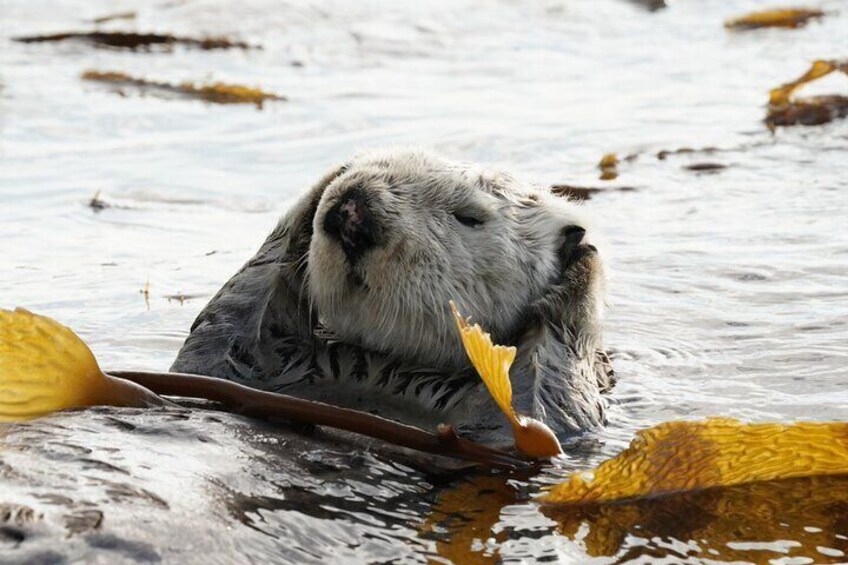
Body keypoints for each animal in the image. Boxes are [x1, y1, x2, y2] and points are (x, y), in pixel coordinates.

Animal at [171, 149, 608, 446]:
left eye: (469, 216)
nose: (352, 210)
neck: (383, 370)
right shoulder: (238, 366)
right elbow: (227, 328)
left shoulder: (511, 430)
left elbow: (536, 403)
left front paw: (581, 264)